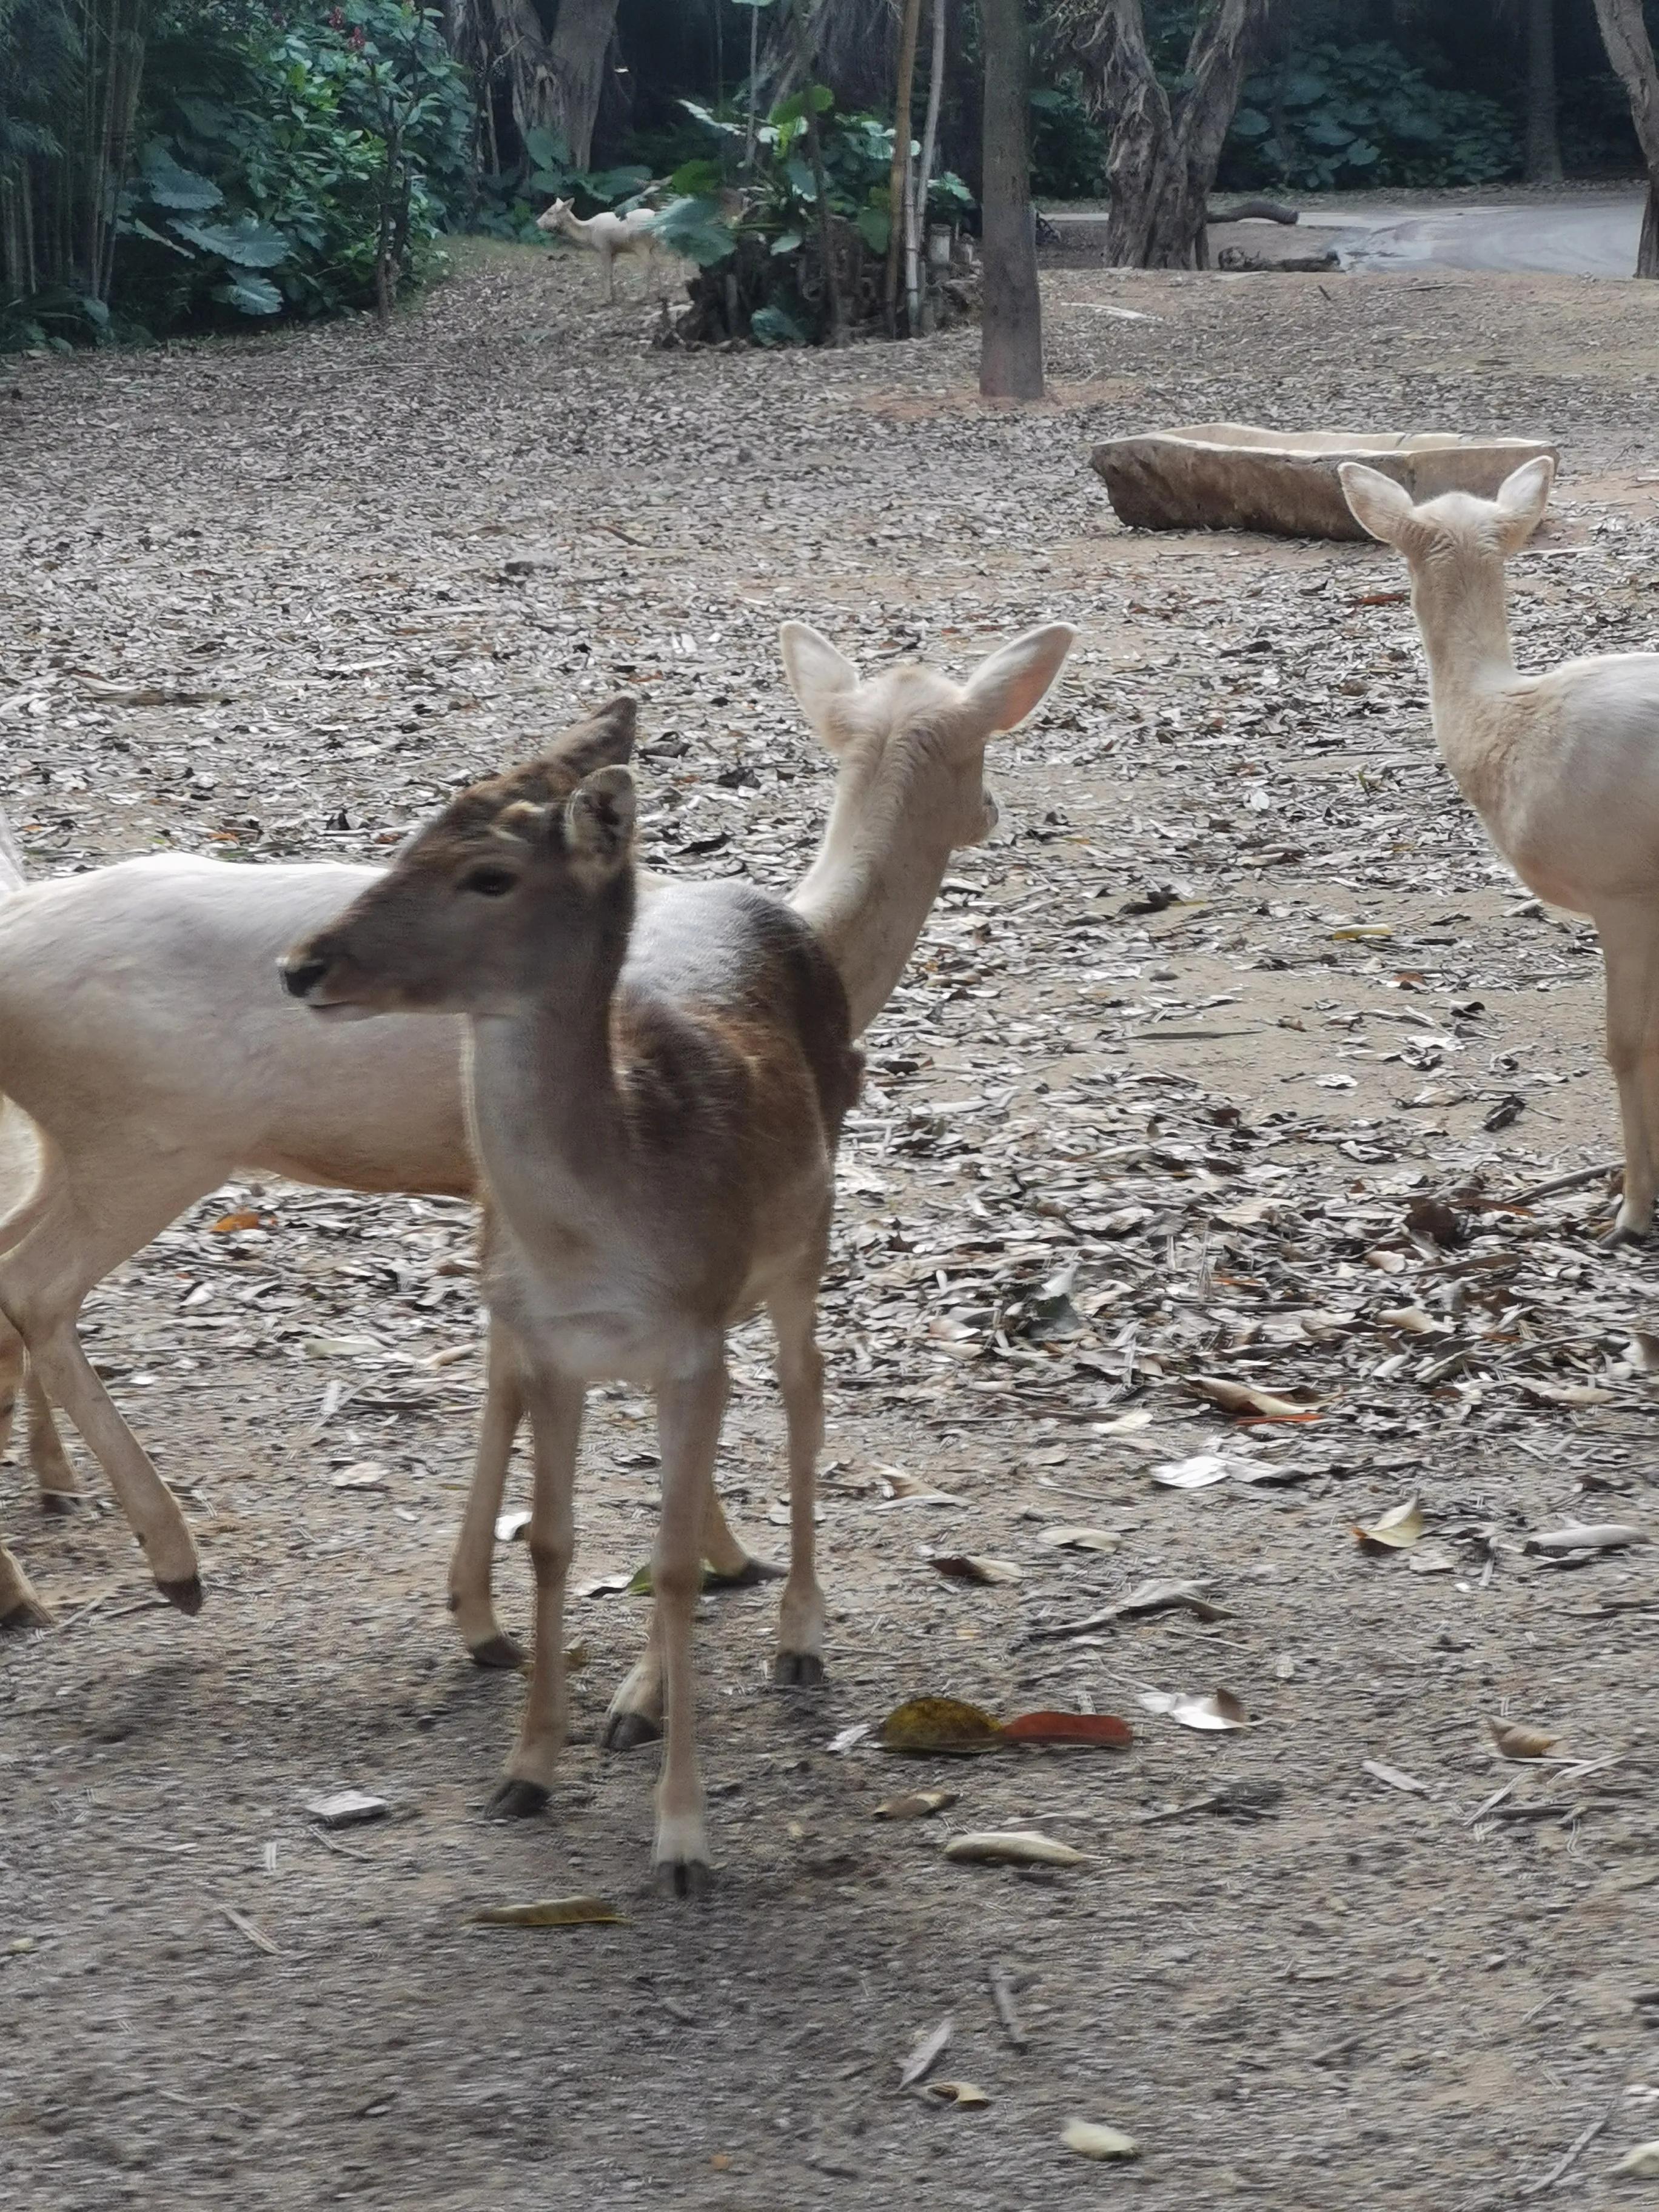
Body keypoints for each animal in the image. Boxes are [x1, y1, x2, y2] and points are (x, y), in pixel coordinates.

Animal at [283, 623, 1079, 1885]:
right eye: (407, 840)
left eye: (489, 874)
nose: (306, 963)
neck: (600, 1224)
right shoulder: (552, 1340)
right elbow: (557, 1540)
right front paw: (528, 1769)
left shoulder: (692, 1328)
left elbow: (659, 1551)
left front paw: (682, 1835)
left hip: (804, 1248)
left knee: (802, 1395)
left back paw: (791, 1632)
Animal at [533, 196, 663, 303]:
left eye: (550, 213)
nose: (537, 223)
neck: (589, 236)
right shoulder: (614, 251)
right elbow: (611, 272)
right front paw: (613, 296)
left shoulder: (604, 248)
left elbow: (605, 273)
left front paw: (606, 299)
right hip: (653, 246)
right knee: (657, 264)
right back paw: (660, 294)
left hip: (640, 244)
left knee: (649, 266)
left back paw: (641, 296)